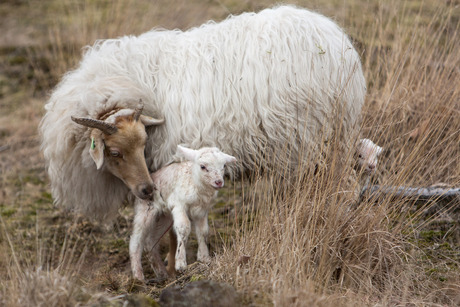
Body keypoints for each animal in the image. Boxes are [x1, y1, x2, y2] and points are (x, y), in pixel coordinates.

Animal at [40, 5, 366, 221]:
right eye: (115, 152)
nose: (145, 190)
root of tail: (336, 43)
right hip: (330, 137)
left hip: (312, 138)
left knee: (344, 188)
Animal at [129, 146, 237, 282]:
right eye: (202, 166)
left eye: (223, 165)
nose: (218, 182)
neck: (195, 182)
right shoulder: (179, 205)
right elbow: (183, 228)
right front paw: (180, 264)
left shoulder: (201, 211)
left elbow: (203, 231)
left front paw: (204, 258)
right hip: (145, 210)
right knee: (135, 241)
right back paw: (138, 277)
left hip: (165, 217)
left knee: (150, 242)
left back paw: (162, 273)